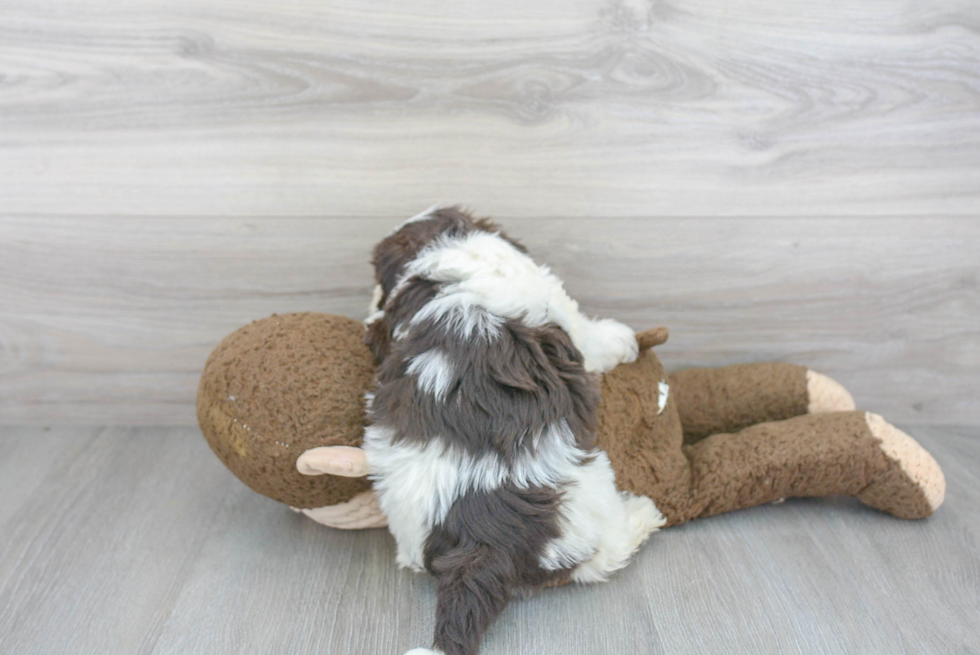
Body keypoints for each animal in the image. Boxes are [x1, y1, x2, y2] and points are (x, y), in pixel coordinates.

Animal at [362, 209, 668, 655]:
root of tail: (483, 541)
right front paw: (622, 339)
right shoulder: (562, 311)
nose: (371, 301)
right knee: (602, 555)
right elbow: (592, 336)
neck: (446, 256)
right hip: (586, 496)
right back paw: (643, 514)